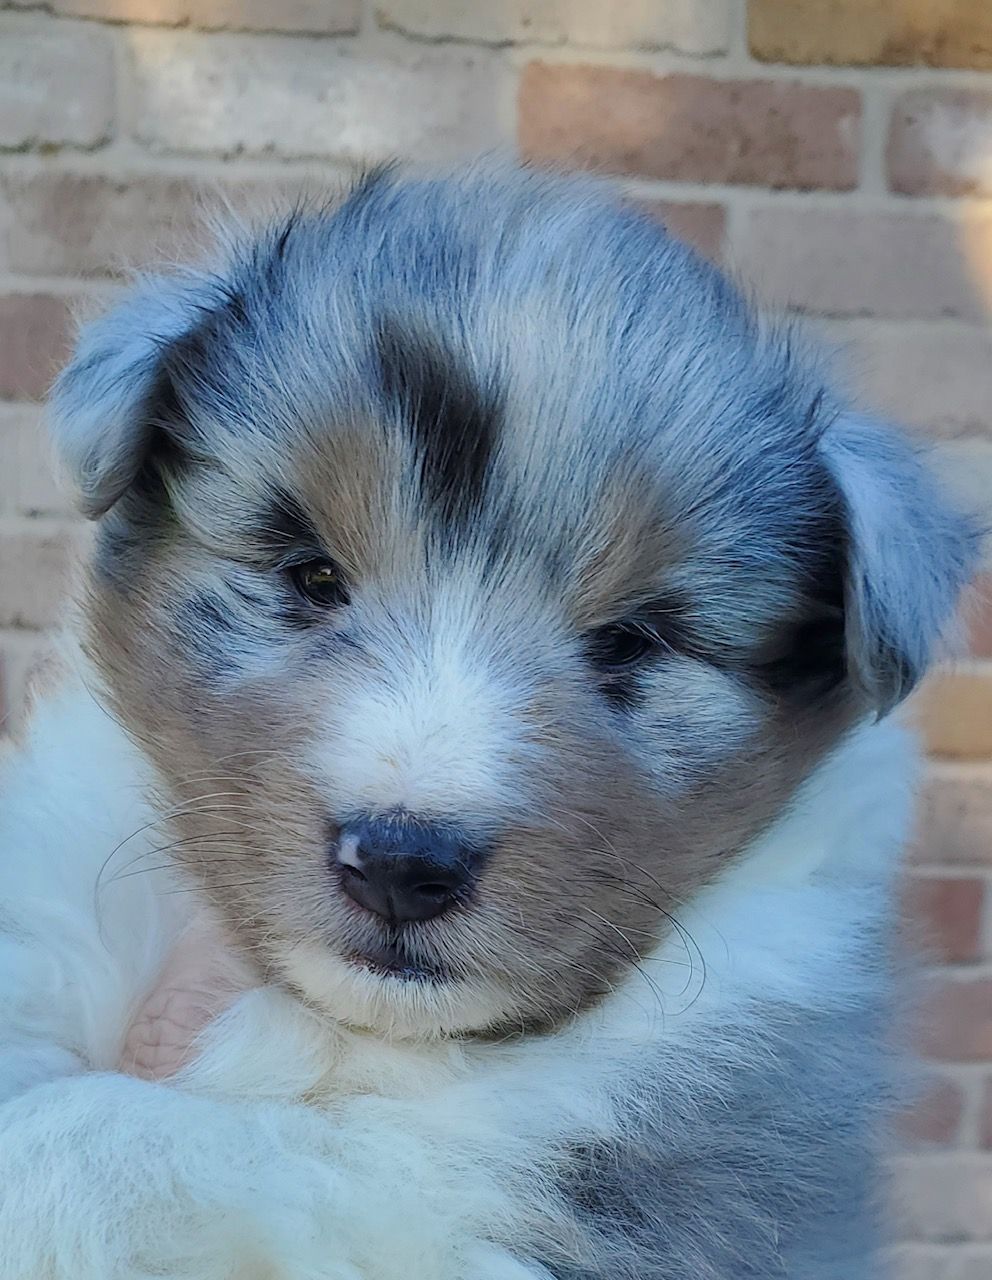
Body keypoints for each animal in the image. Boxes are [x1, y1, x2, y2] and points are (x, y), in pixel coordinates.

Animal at [0, 163, 975, 1279]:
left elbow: (184, 1140)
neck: (382, 1034)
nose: (399, 863)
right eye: (311, 576)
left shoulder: (519, 1181)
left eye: (628, 641)